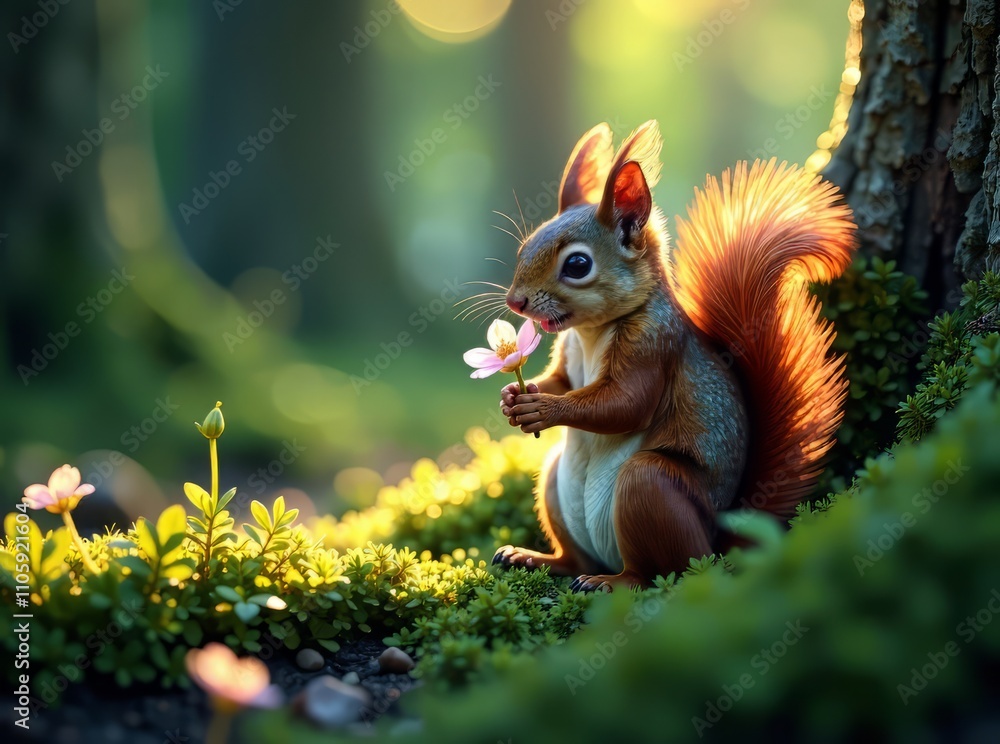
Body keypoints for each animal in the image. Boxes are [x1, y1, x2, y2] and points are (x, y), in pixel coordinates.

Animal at [492, 120, 857, 592]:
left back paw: (610, 582)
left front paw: (543, 408)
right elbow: (565, 382)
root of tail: (717, 544)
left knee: (662, 572)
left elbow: (623, 404)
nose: (515, 302)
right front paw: (514, 396)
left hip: (650, 488)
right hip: (556, 484)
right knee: (575, 560)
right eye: (525, 247)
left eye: (577, 265)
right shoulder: (569, 353)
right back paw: (533, 558)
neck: (591, 333)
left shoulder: (653, 344)